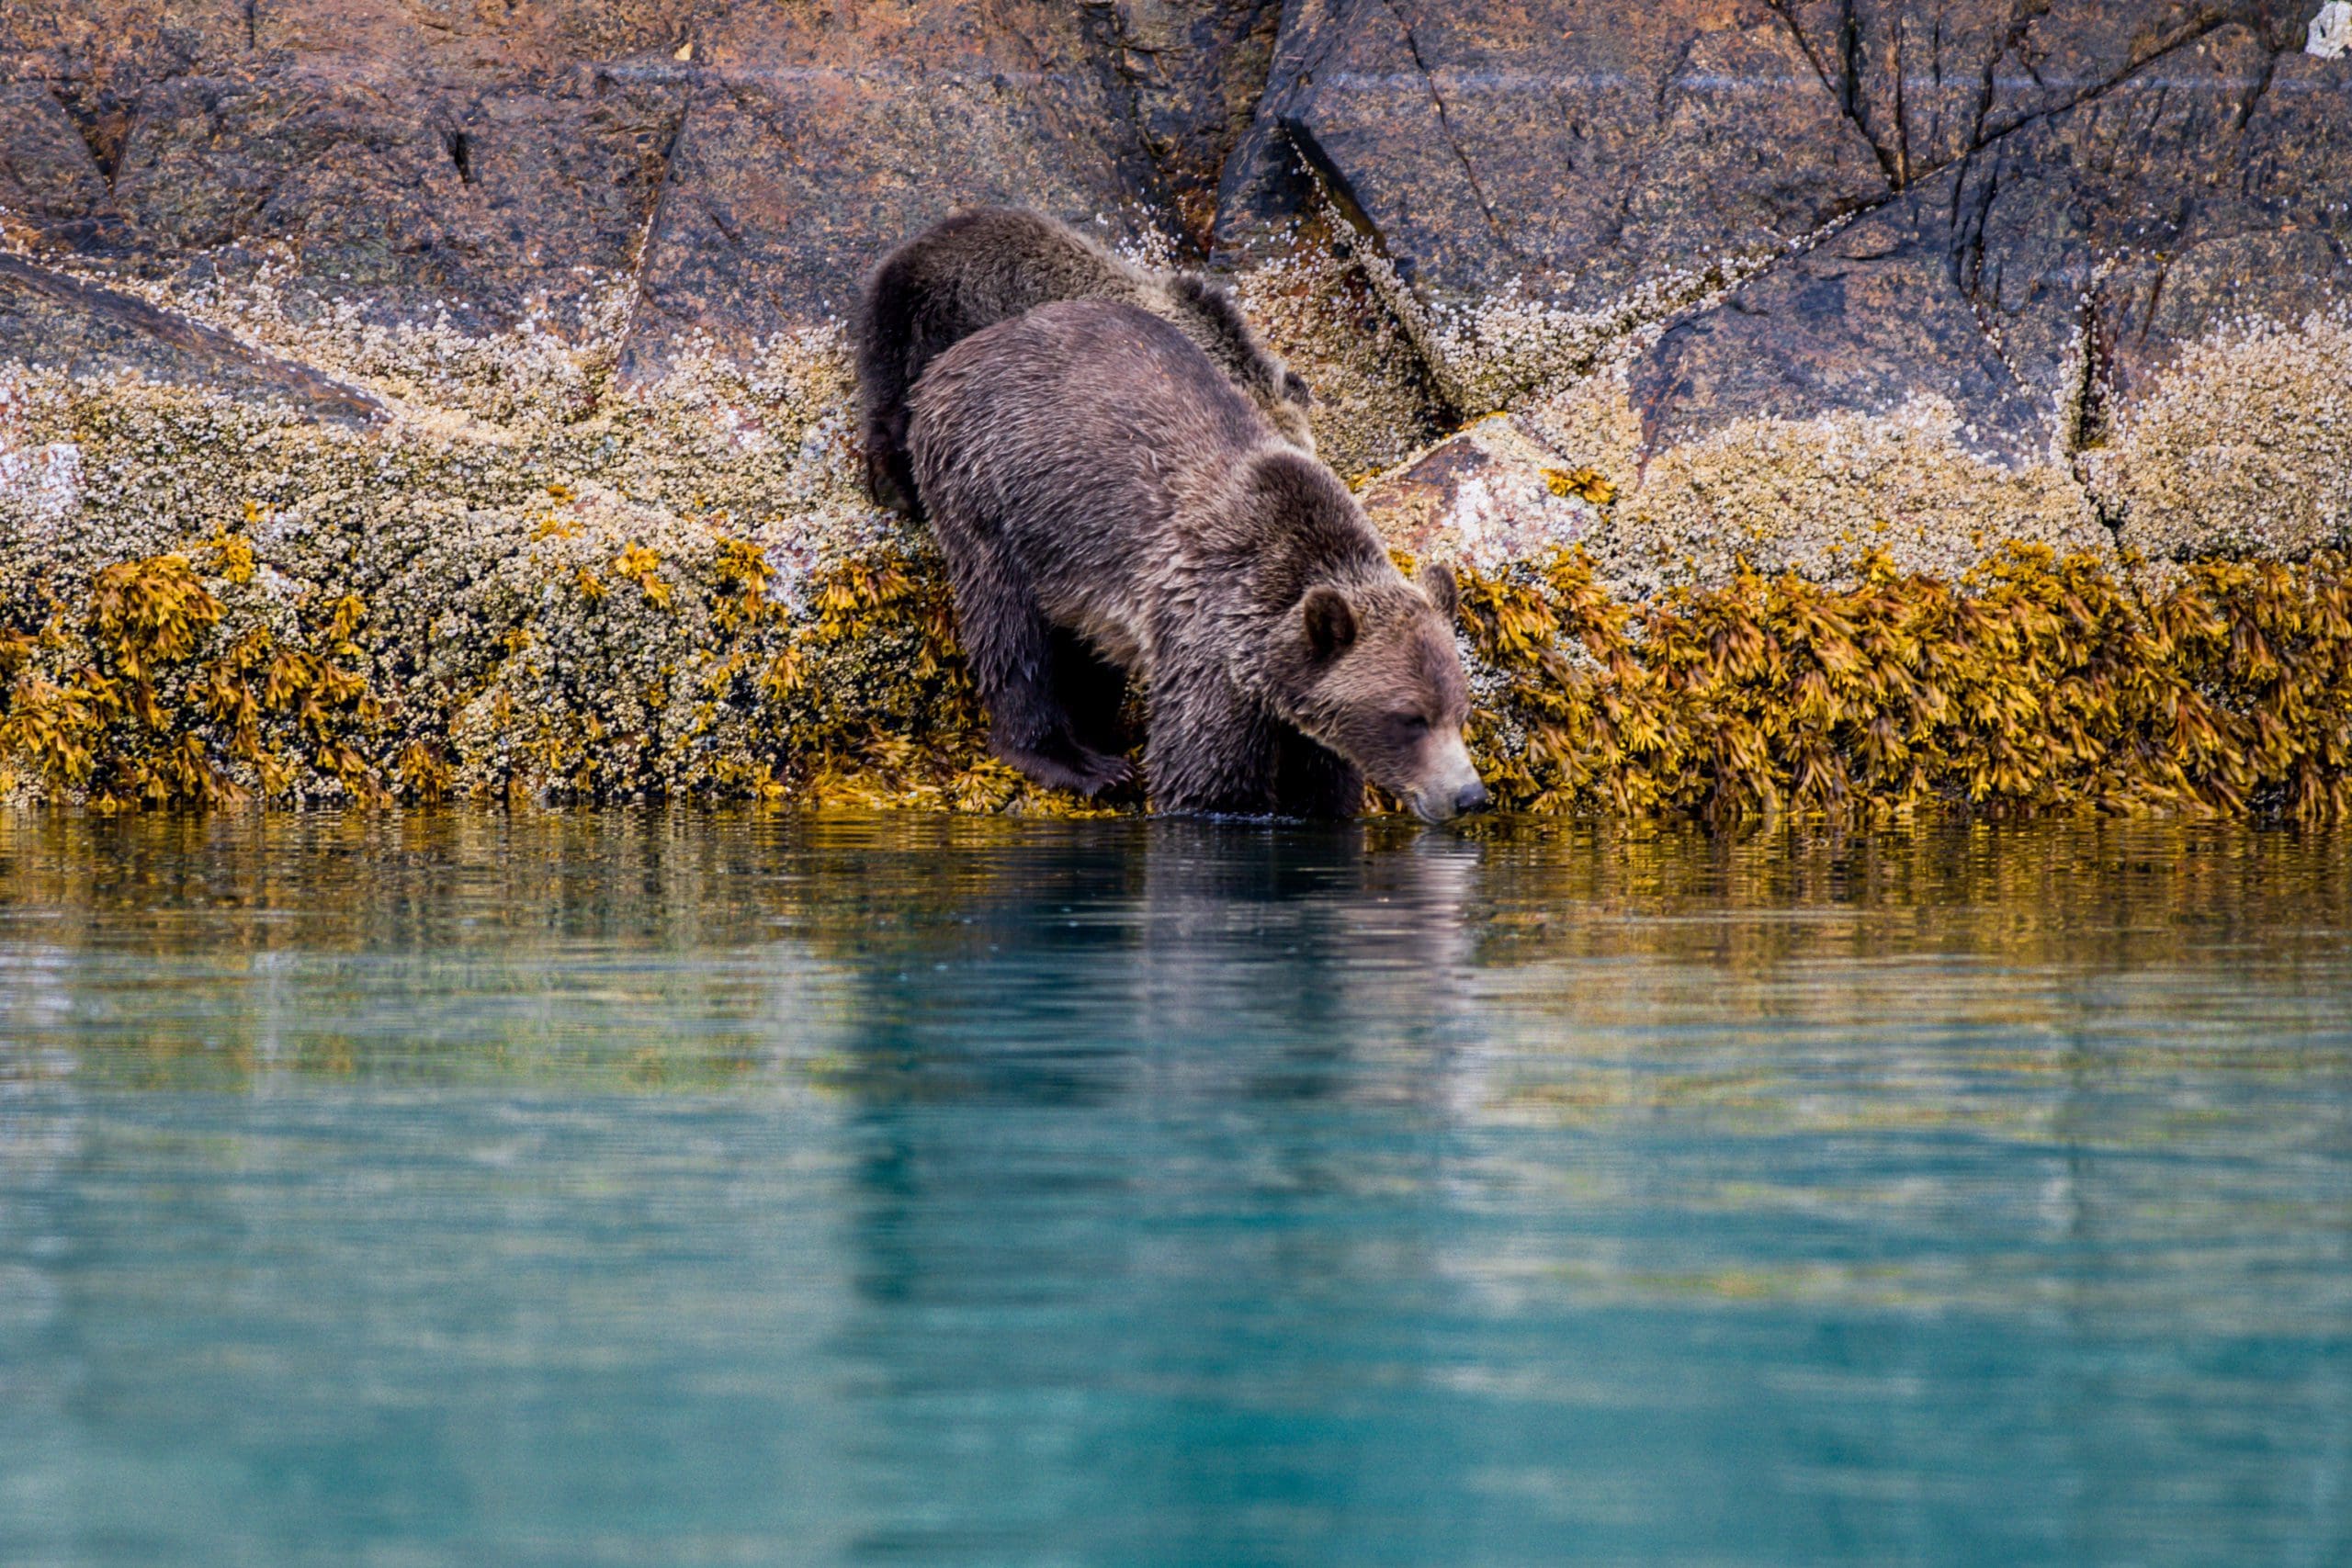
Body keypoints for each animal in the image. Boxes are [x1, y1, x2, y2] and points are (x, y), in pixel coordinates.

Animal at [903, 299, 1486, 827]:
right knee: (1010, 629)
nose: (1468, 796)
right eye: (1410, 717)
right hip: (990, 492)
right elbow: (1205, 780)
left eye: (1461, 712)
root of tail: (961, 351)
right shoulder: (1210, 639)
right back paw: (1078, 760)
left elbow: (1324, 788)